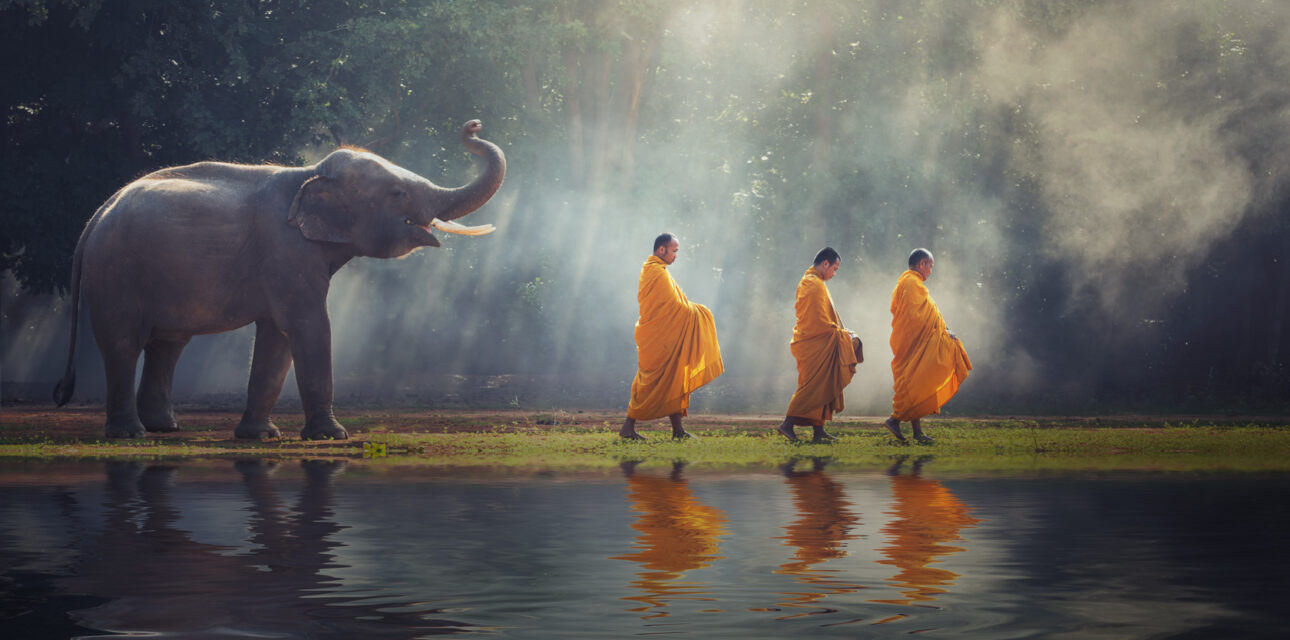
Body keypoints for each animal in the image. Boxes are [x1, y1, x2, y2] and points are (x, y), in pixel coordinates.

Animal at [55, 120, 508, 438]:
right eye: (397, 194)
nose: (473, 125)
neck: (309, 172)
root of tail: (96, 216)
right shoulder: (286, 251)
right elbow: (307, 325)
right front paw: (332, 437)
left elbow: (277, 335)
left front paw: (261, 437)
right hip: (116, 271)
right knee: (123, 342)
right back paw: (130, 433)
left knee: (168, 343)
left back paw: (165, 428)